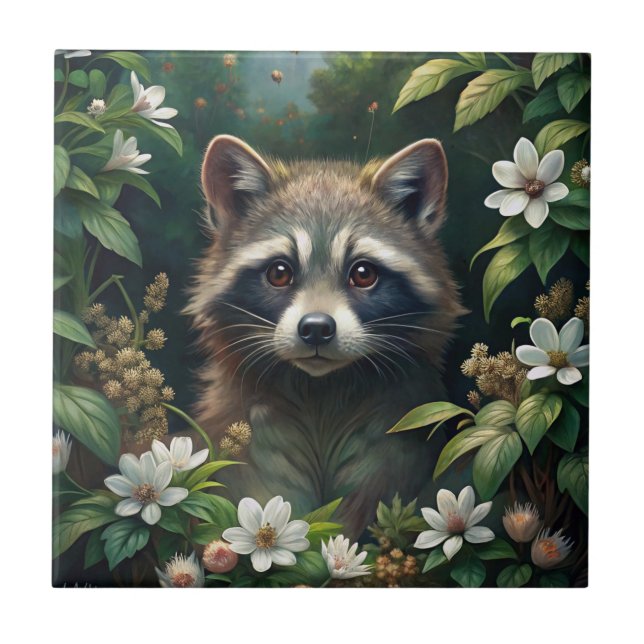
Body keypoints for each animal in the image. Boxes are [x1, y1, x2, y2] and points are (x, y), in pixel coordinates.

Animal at [185, 135, 465, 537]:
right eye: (280, 273)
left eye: (363, 274)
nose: (316, 328)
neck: (320, 391)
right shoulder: (247, 431)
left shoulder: (397, 430)